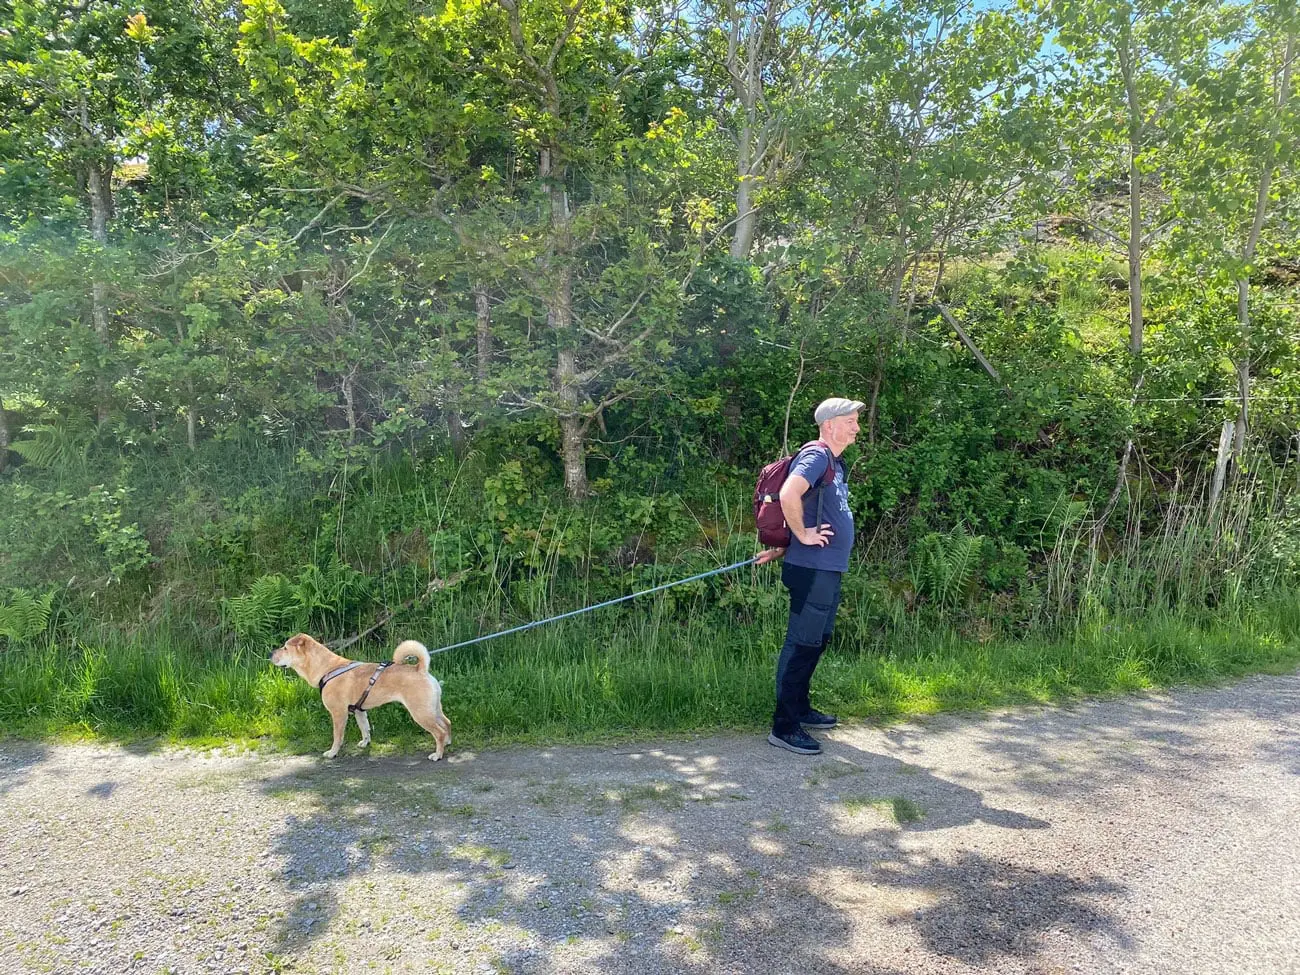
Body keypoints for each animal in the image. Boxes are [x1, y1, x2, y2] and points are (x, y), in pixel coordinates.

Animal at [269, 634, 452, 764]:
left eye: (285, 648)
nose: (270, 653)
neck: (326, 669)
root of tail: (420, 669)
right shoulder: (359, 711)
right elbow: (365, 729)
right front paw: (365, 743)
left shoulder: (338, 714)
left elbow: (337, 736)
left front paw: (332, 753)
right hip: (433, 709)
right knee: (447, 723)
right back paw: (447, 742)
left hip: (421, 713)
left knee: (439, 731)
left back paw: (438, 754)